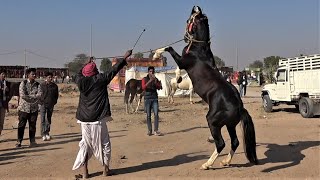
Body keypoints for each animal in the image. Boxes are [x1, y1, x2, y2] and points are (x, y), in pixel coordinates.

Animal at [156, 5, 258, 169]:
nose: (185, 37)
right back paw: (225, 161)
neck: (199, 49)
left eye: (188, 20)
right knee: (235, 142)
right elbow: (176, 67)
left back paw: (207, 164)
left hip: (213, 121)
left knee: (221, 143)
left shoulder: (183, 62)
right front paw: (177, 78)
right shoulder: (183, 63)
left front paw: (157, 55)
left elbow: (170, 49)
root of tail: (239, 107)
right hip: (230, 125)